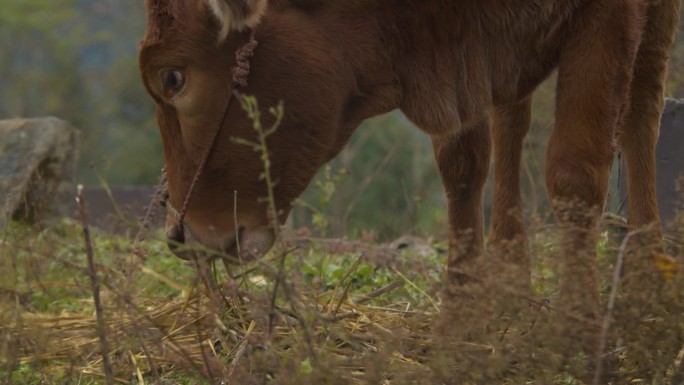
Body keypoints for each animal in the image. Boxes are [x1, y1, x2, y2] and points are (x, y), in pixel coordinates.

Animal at [139, 0, 680, 328]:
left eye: (172, 77)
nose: (180, 236)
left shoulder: (611, 17)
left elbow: (573, 170)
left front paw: (577, 323)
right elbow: (461, 165)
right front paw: (460, 309)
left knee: (643, 105)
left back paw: (647, 273)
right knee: (511, 119)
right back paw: (510, 274)